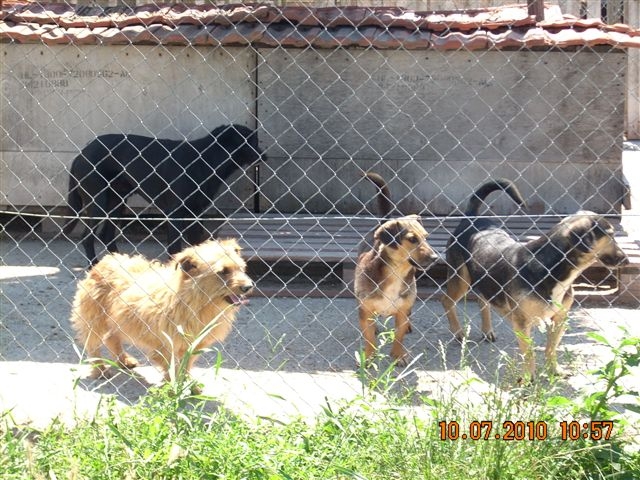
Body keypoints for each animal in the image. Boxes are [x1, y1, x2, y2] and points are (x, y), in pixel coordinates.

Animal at [64, 124, 266, 265]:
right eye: (251, 141)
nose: (264, 156)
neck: (205, 159)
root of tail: (81, 154)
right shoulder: (175, 213)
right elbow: (175, 247)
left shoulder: (195, 213)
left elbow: (195, 245)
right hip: (99, 202)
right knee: (87, 237)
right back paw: (93, 266)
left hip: (116, 202)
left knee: (106, 236)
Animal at [70, 238, 254, 383]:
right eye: (223, 272)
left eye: (241, 268)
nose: (249, 287)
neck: (194, 302)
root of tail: (105, 261)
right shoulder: (166, 345)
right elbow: (173, 369)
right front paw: (174, 388)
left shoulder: (193, 346)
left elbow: (186, 367)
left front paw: (188, 386)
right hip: (94, 319)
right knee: (93, 345)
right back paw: (99, 369)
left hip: (117, 320)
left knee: (111, 338)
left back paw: (124, 360)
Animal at [354, 173, 439, 365]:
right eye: (412, 239)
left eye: (426, 237)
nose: (435, 258)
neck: (396, 272)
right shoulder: (365, 310)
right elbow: (369, 337)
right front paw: (369, 357)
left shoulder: (401, 311)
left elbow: (399, 336)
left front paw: (398, 356)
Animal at [442, 179, 629, 378]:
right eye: (610, 235)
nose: (626, 260)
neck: (552, 269)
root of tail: (471, 218)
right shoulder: (522, 323)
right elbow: (529, 353)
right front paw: (528, 378)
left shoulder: (559, 318)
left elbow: (551, 348)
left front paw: (554, 370)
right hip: (460, 278)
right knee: (447, 300)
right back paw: (458, 332)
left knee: (482, 299)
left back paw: (487, 331)